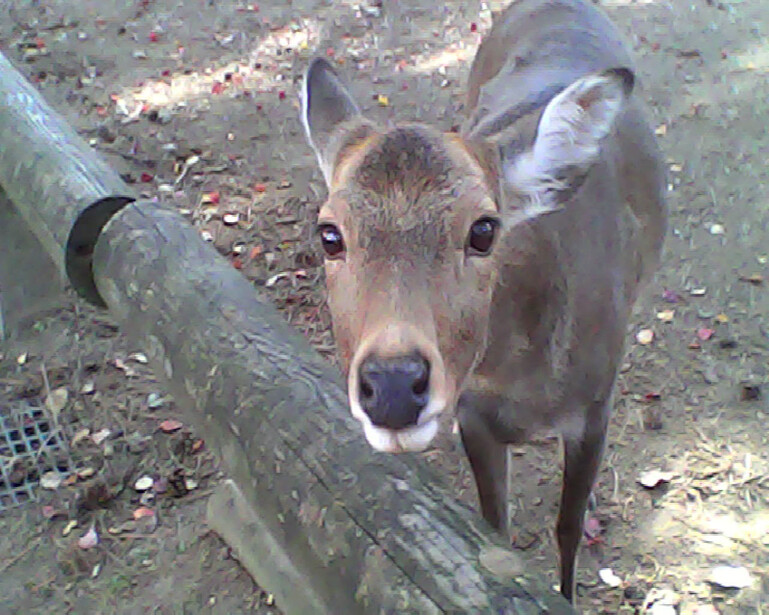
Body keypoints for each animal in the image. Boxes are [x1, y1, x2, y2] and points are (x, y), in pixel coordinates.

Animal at [300, 0, 667, 604]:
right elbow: (494, 529)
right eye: (329, 234)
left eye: (484, 229)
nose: (393, 387)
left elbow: (566, 528)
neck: (525, 381)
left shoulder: (595, 405)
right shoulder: (473, 416)